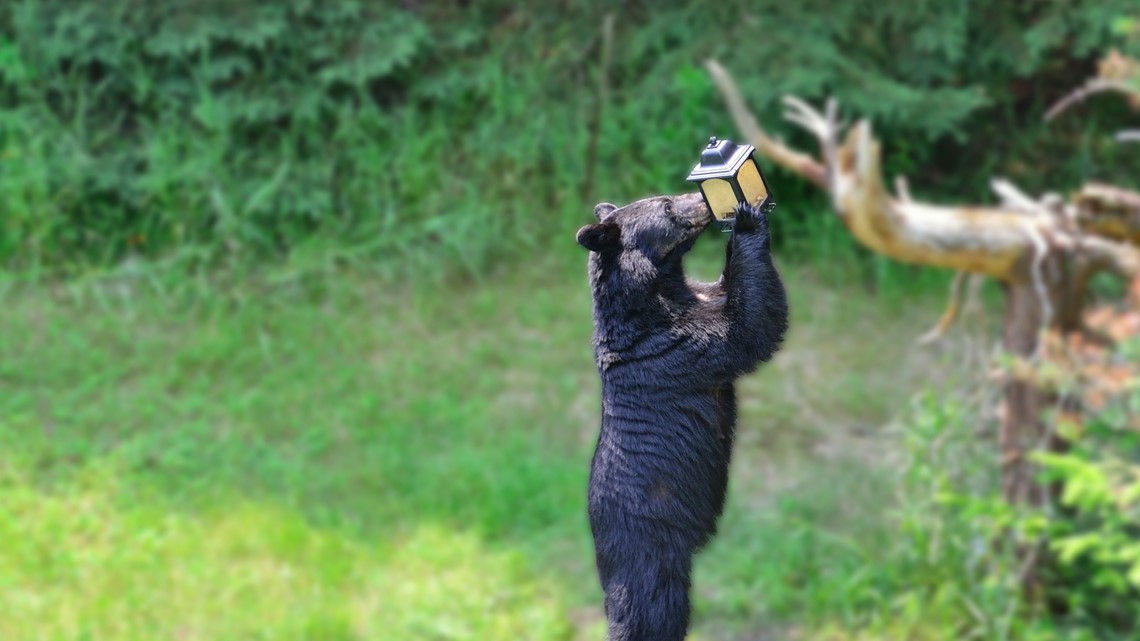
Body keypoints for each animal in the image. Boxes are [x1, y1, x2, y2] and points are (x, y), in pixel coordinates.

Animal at [574, 190, 788, 638]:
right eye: (668, 205)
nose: (700, 200)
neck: (658, 292)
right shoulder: (678, 343)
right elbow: (747, 329)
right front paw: (747, 219)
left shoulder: (696, 299)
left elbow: (729, 294)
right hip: (648, 547)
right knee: (649, 609)